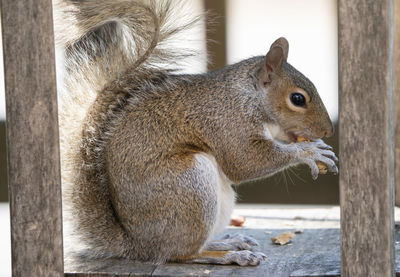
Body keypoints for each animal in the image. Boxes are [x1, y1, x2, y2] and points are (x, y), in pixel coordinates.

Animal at [54, 0, 338, 268]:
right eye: (298, 99)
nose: (328, 130)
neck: (248, 95)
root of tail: (138, 245)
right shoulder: (228, 121)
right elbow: (245, 162)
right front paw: (309, 152)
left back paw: (229, 241)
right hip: (190, 185)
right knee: (182, 254)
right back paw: (230, 255)